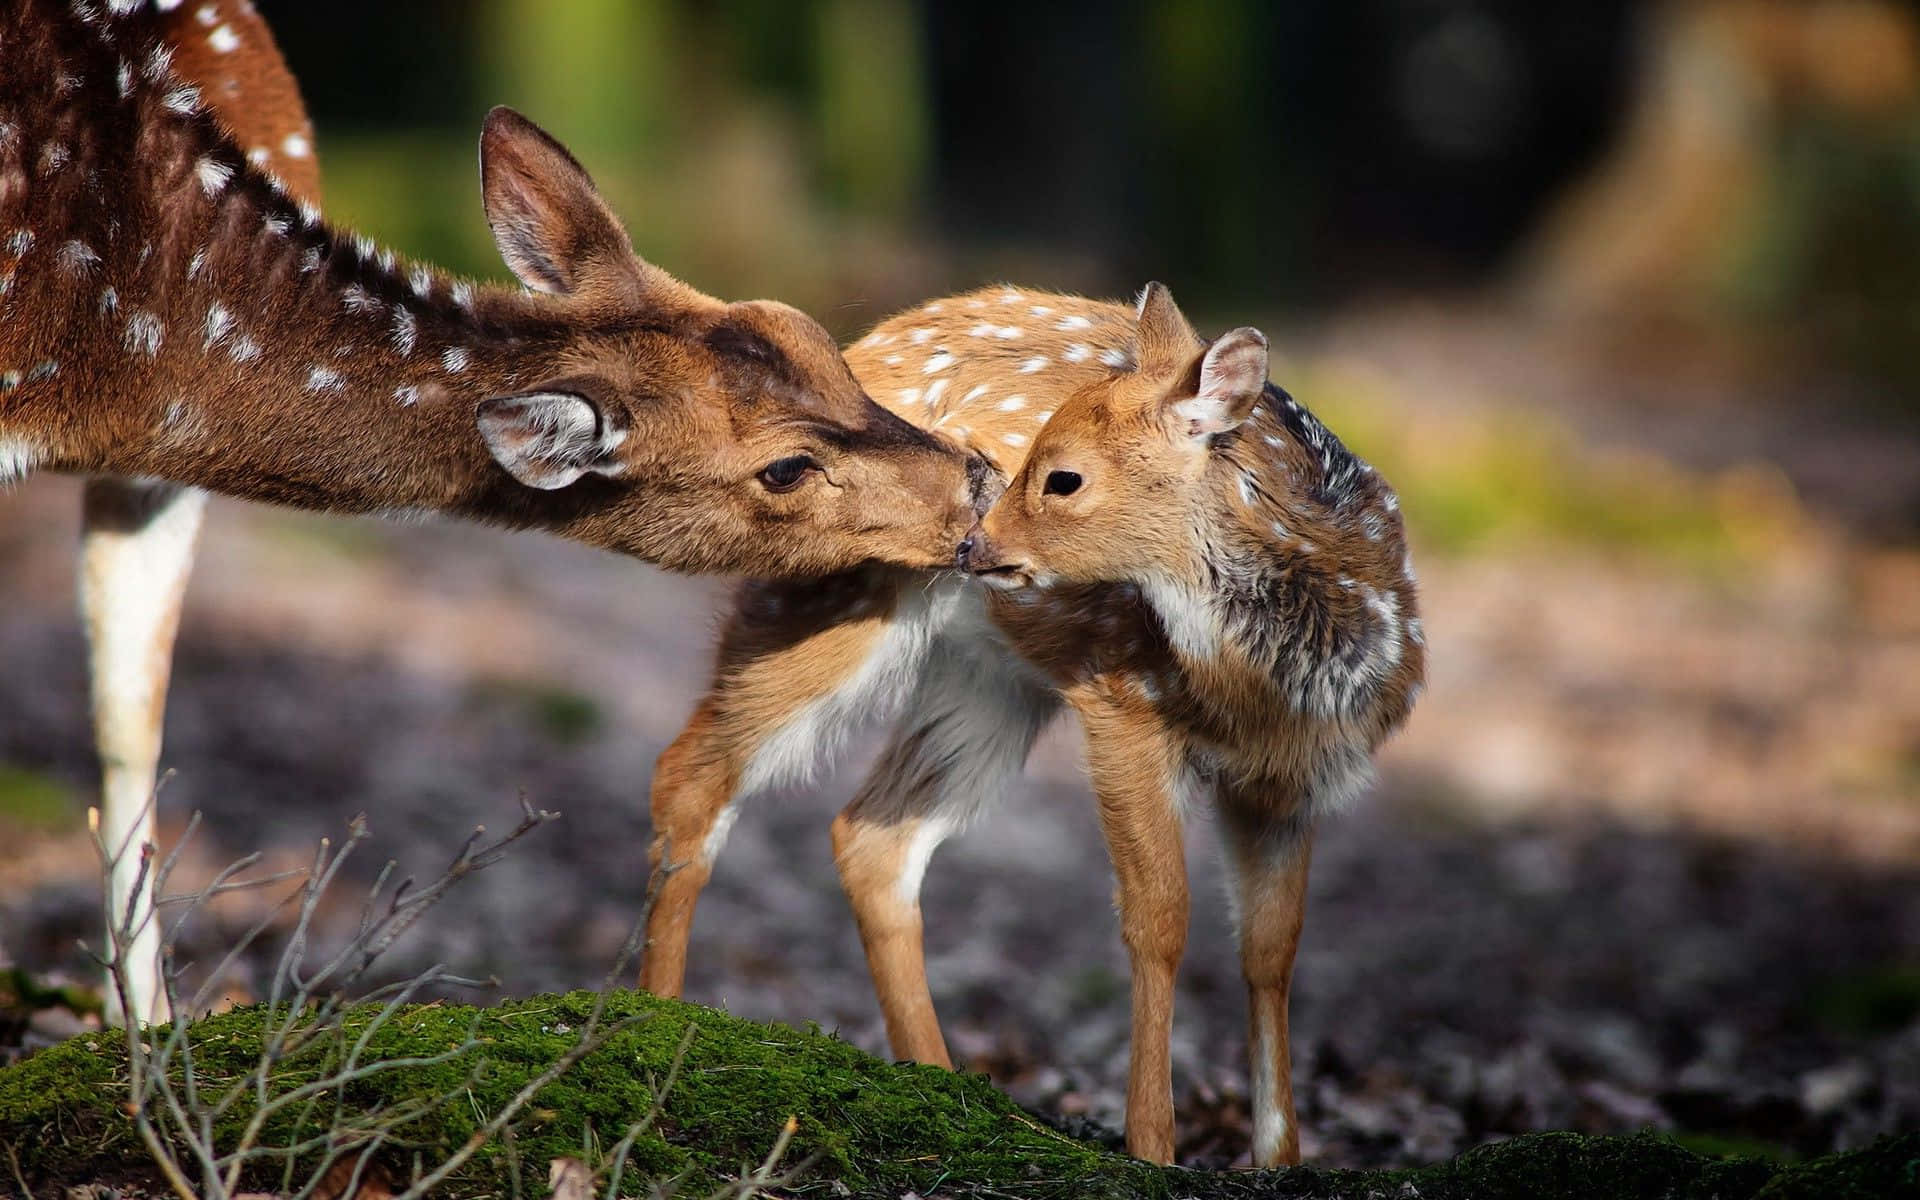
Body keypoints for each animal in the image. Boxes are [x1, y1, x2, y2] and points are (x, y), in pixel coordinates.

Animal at [639, 281, 1424, 1166]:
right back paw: (656, 1030)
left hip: (989, 681)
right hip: (823, 597)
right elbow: (1159, 919)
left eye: (1064, 478)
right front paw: (1152, 1145)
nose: (973, 537)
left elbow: (1273, 949)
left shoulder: (1294, 782)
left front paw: (1278, 1157)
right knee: (690, 773)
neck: (1269, 685)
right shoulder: (1123, 698)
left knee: (873, 834)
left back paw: (937, 1079)